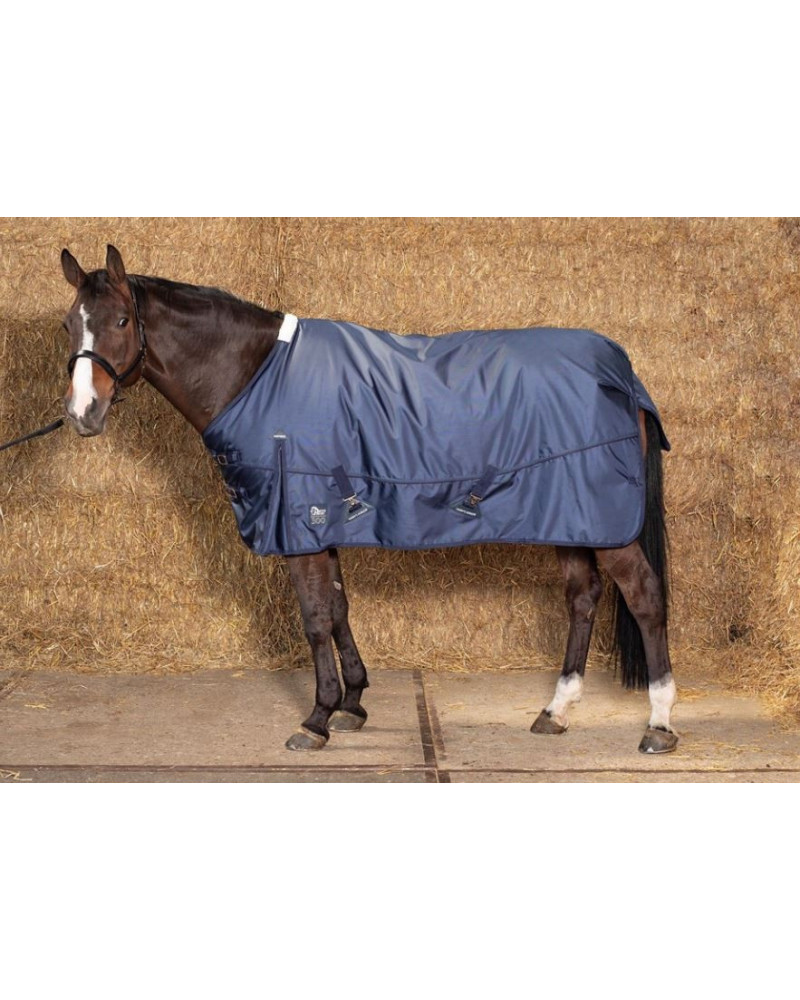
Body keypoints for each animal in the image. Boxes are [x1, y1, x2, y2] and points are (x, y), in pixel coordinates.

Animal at [58, 245, 678, 755]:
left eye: (121, 320)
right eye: (69, 324)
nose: (82, 413)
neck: (257, 375)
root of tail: (622, 371)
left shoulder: (300, 523)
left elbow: (314, 619)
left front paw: (316, 718)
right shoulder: (322, 524)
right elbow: (338, 609)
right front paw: (352, 703)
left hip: (606, 523)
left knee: (644, 596)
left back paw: (659, 724)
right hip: (570, 518)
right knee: (582, 598)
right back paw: (555, 712)